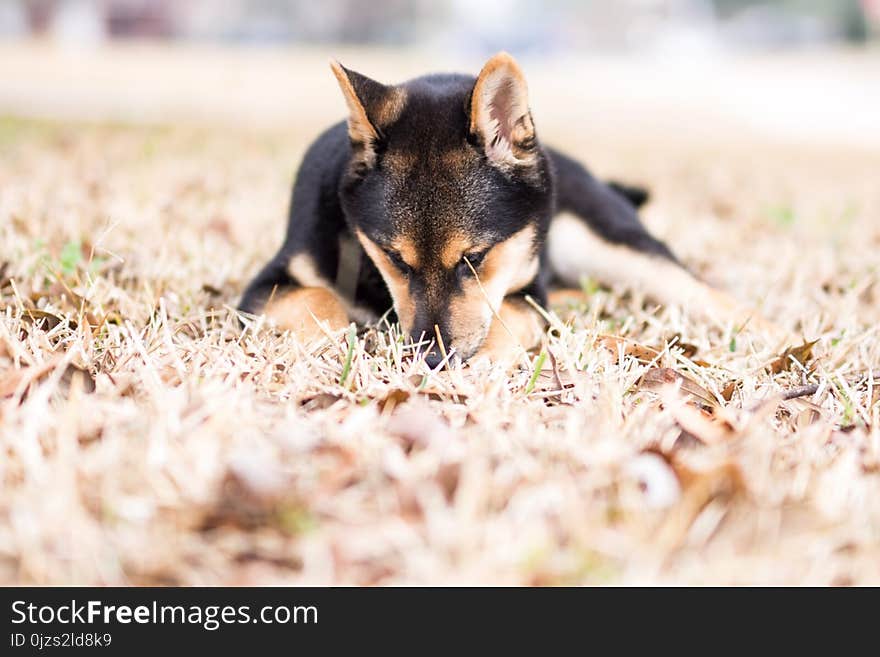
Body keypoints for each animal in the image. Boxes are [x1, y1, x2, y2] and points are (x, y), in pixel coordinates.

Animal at [239, 53, 776, 366]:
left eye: (475, 259)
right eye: (393, 259)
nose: (432, 362)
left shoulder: (524, 289)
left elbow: (511, 316)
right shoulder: (264, 287)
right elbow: (317, 299)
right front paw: (339, 339)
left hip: (612, 245)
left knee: (699, 290)